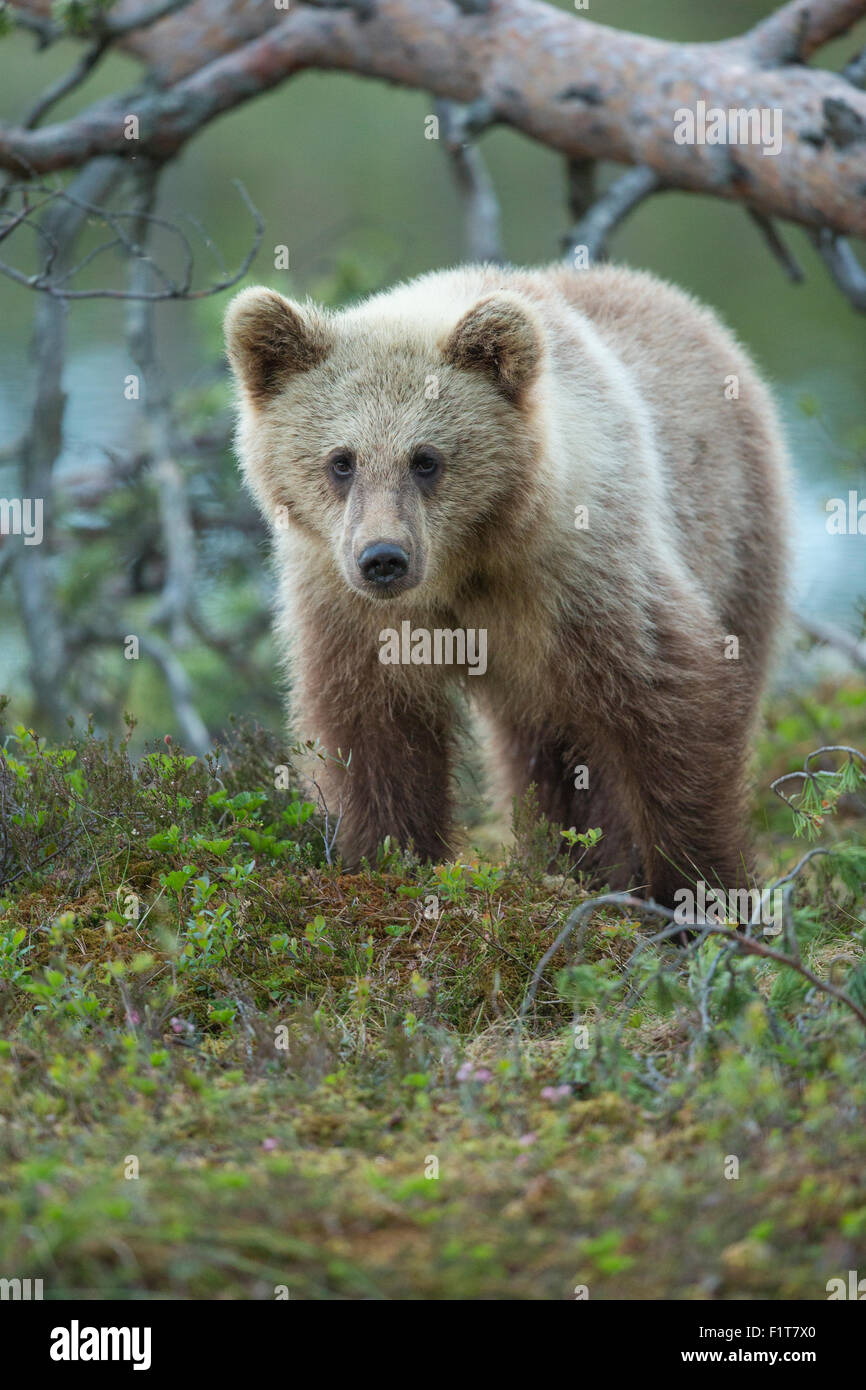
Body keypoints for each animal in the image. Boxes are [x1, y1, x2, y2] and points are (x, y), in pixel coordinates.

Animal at [225, 263, 791, 909]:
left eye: (426, 459)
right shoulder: (346, 602)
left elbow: (668, 708)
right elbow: (374, 730)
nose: (383, 558)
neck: (462, 568)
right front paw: (388, 856)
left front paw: (700, 889)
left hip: (737, 531)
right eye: (341, 460)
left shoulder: (577, 571)